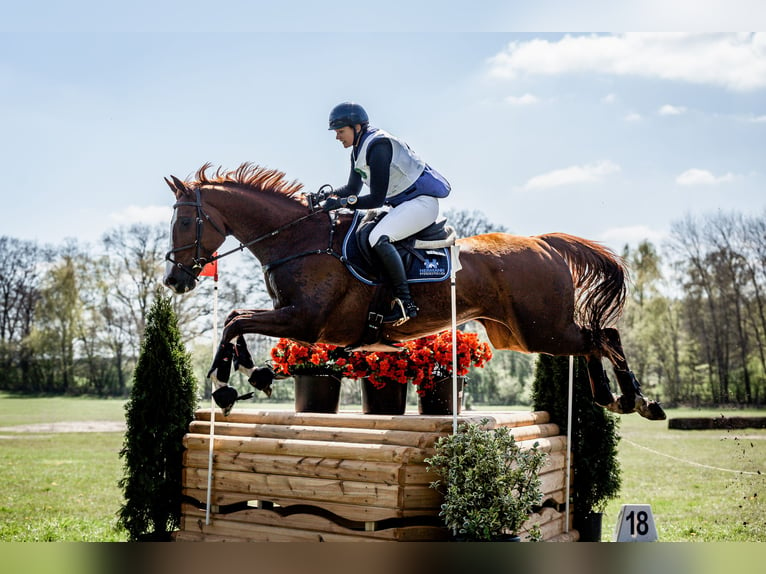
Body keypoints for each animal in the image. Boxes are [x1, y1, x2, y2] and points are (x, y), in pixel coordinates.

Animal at [166, 164, 664, 420]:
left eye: (186, 221)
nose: (174, 280)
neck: (298, 239)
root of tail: (544, 243)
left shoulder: (307, 321)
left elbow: (234, 320)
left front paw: (228, 385)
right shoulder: (294, 318)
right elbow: (234, 321)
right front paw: (251, 373)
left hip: (542, 329)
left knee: (602, 337)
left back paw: (638, 399)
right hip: (523, 334)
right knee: (594, 341)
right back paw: (613, 397)